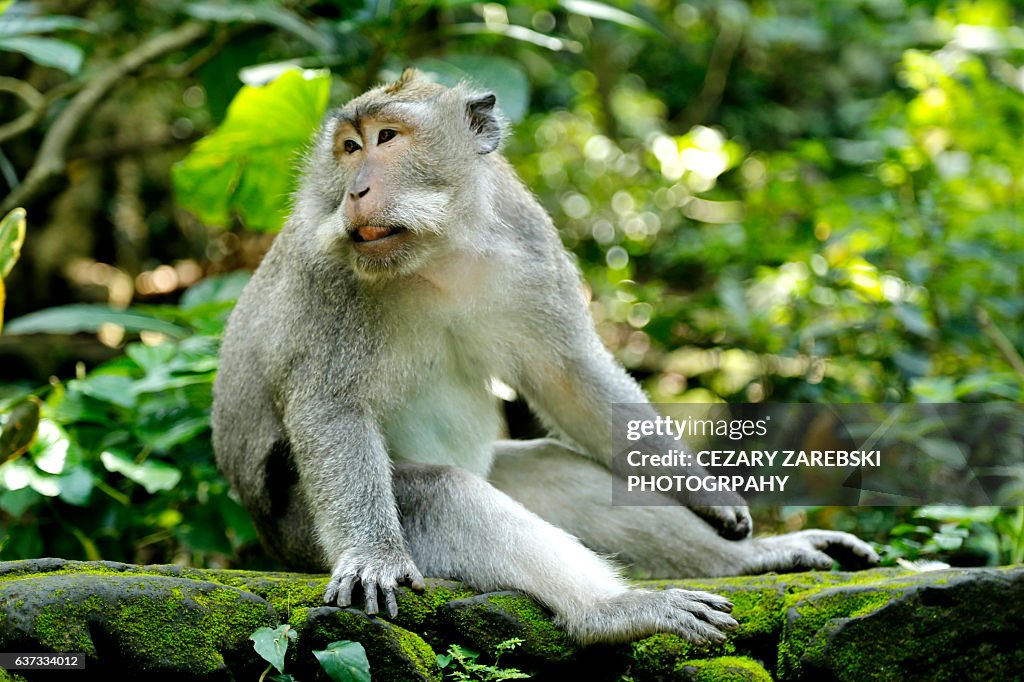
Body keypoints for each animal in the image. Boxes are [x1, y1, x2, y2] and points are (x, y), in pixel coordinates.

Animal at [209, 70, 880, 643]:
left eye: (387, 138)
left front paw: (708, 494)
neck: (434, 253)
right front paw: (373, 557)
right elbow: (332, 409)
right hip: (303, 531)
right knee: (446, 495)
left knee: (558, 469)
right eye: (348, 147)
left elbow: (570, 377)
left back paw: (750, 559)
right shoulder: (326, 274)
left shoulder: (528, 241)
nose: (355, 190)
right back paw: (616, 610)